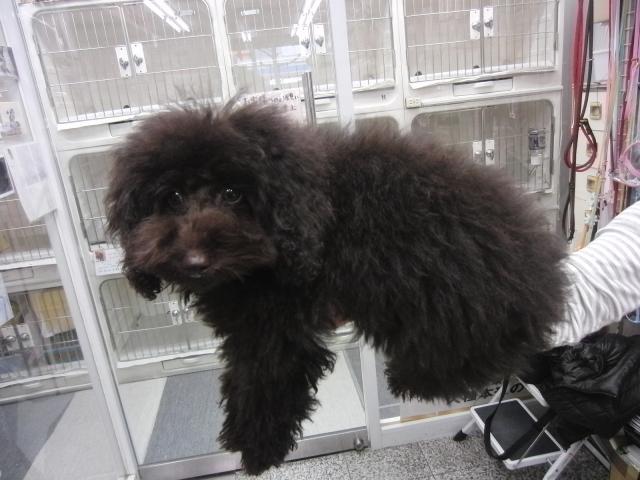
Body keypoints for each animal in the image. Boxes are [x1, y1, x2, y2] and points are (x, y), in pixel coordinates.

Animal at [106, 102, 567, 475]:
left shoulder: (277, 329)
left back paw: (409, 380)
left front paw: (257, 448)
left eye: (233, 193)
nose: (195, 259)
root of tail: (544, 274)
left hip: (449, 301)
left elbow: (264, 382)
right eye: (172, 197)